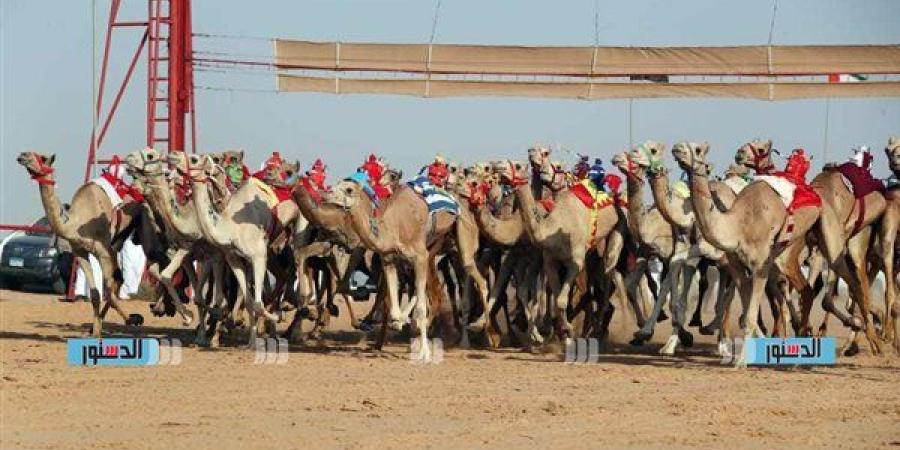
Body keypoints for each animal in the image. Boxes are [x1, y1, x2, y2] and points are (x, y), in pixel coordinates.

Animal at [16, 151, 144, 334]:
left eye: (42, 157)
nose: (23, 155)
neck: (75, 223)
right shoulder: (81, 252)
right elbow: (96, 294)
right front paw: (95, 330)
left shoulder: (103, 251)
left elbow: (108, 294)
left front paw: (133, 319)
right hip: (118, 241)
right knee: (118, 278)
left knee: (118, 280)